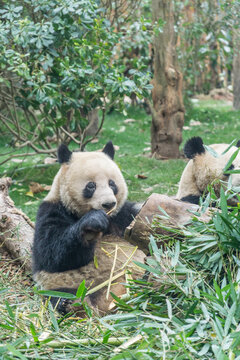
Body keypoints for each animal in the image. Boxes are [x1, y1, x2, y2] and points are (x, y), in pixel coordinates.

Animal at [31, 142, 144, 316]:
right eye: (91, 185)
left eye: (112, 183)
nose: (109, 204)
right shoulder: (51, 210)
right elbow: (51, 252)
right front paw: (92, 225)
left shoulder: (123, 215)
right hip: (65, 285)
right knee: (59, 296)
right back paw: (70, 304)